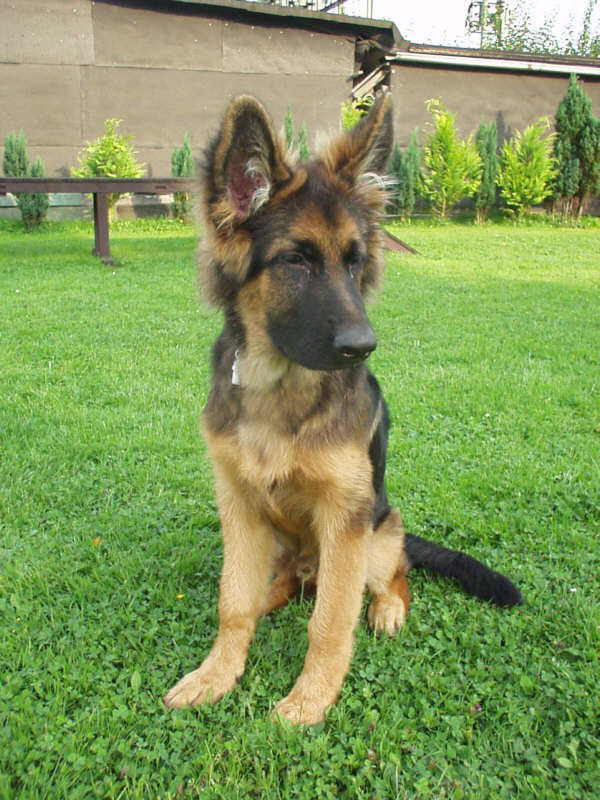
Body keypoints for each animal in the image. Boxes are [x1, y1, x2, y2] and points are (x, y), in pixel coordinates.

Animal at [164, 92, 522, 726]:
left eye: (355, 263)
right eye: (296, 261)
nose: (363, 346)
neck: (280, 389)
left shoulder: (345, 518)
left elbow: (330, 621)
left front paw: (310, 699)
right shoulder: (238, 505)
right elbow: (232, 603)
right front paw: (216, 673)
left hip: (378, 532)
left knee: (395, 575)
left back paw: (385, 609)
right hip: (282, 541)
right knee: (277, 589)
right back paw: (270, 600)